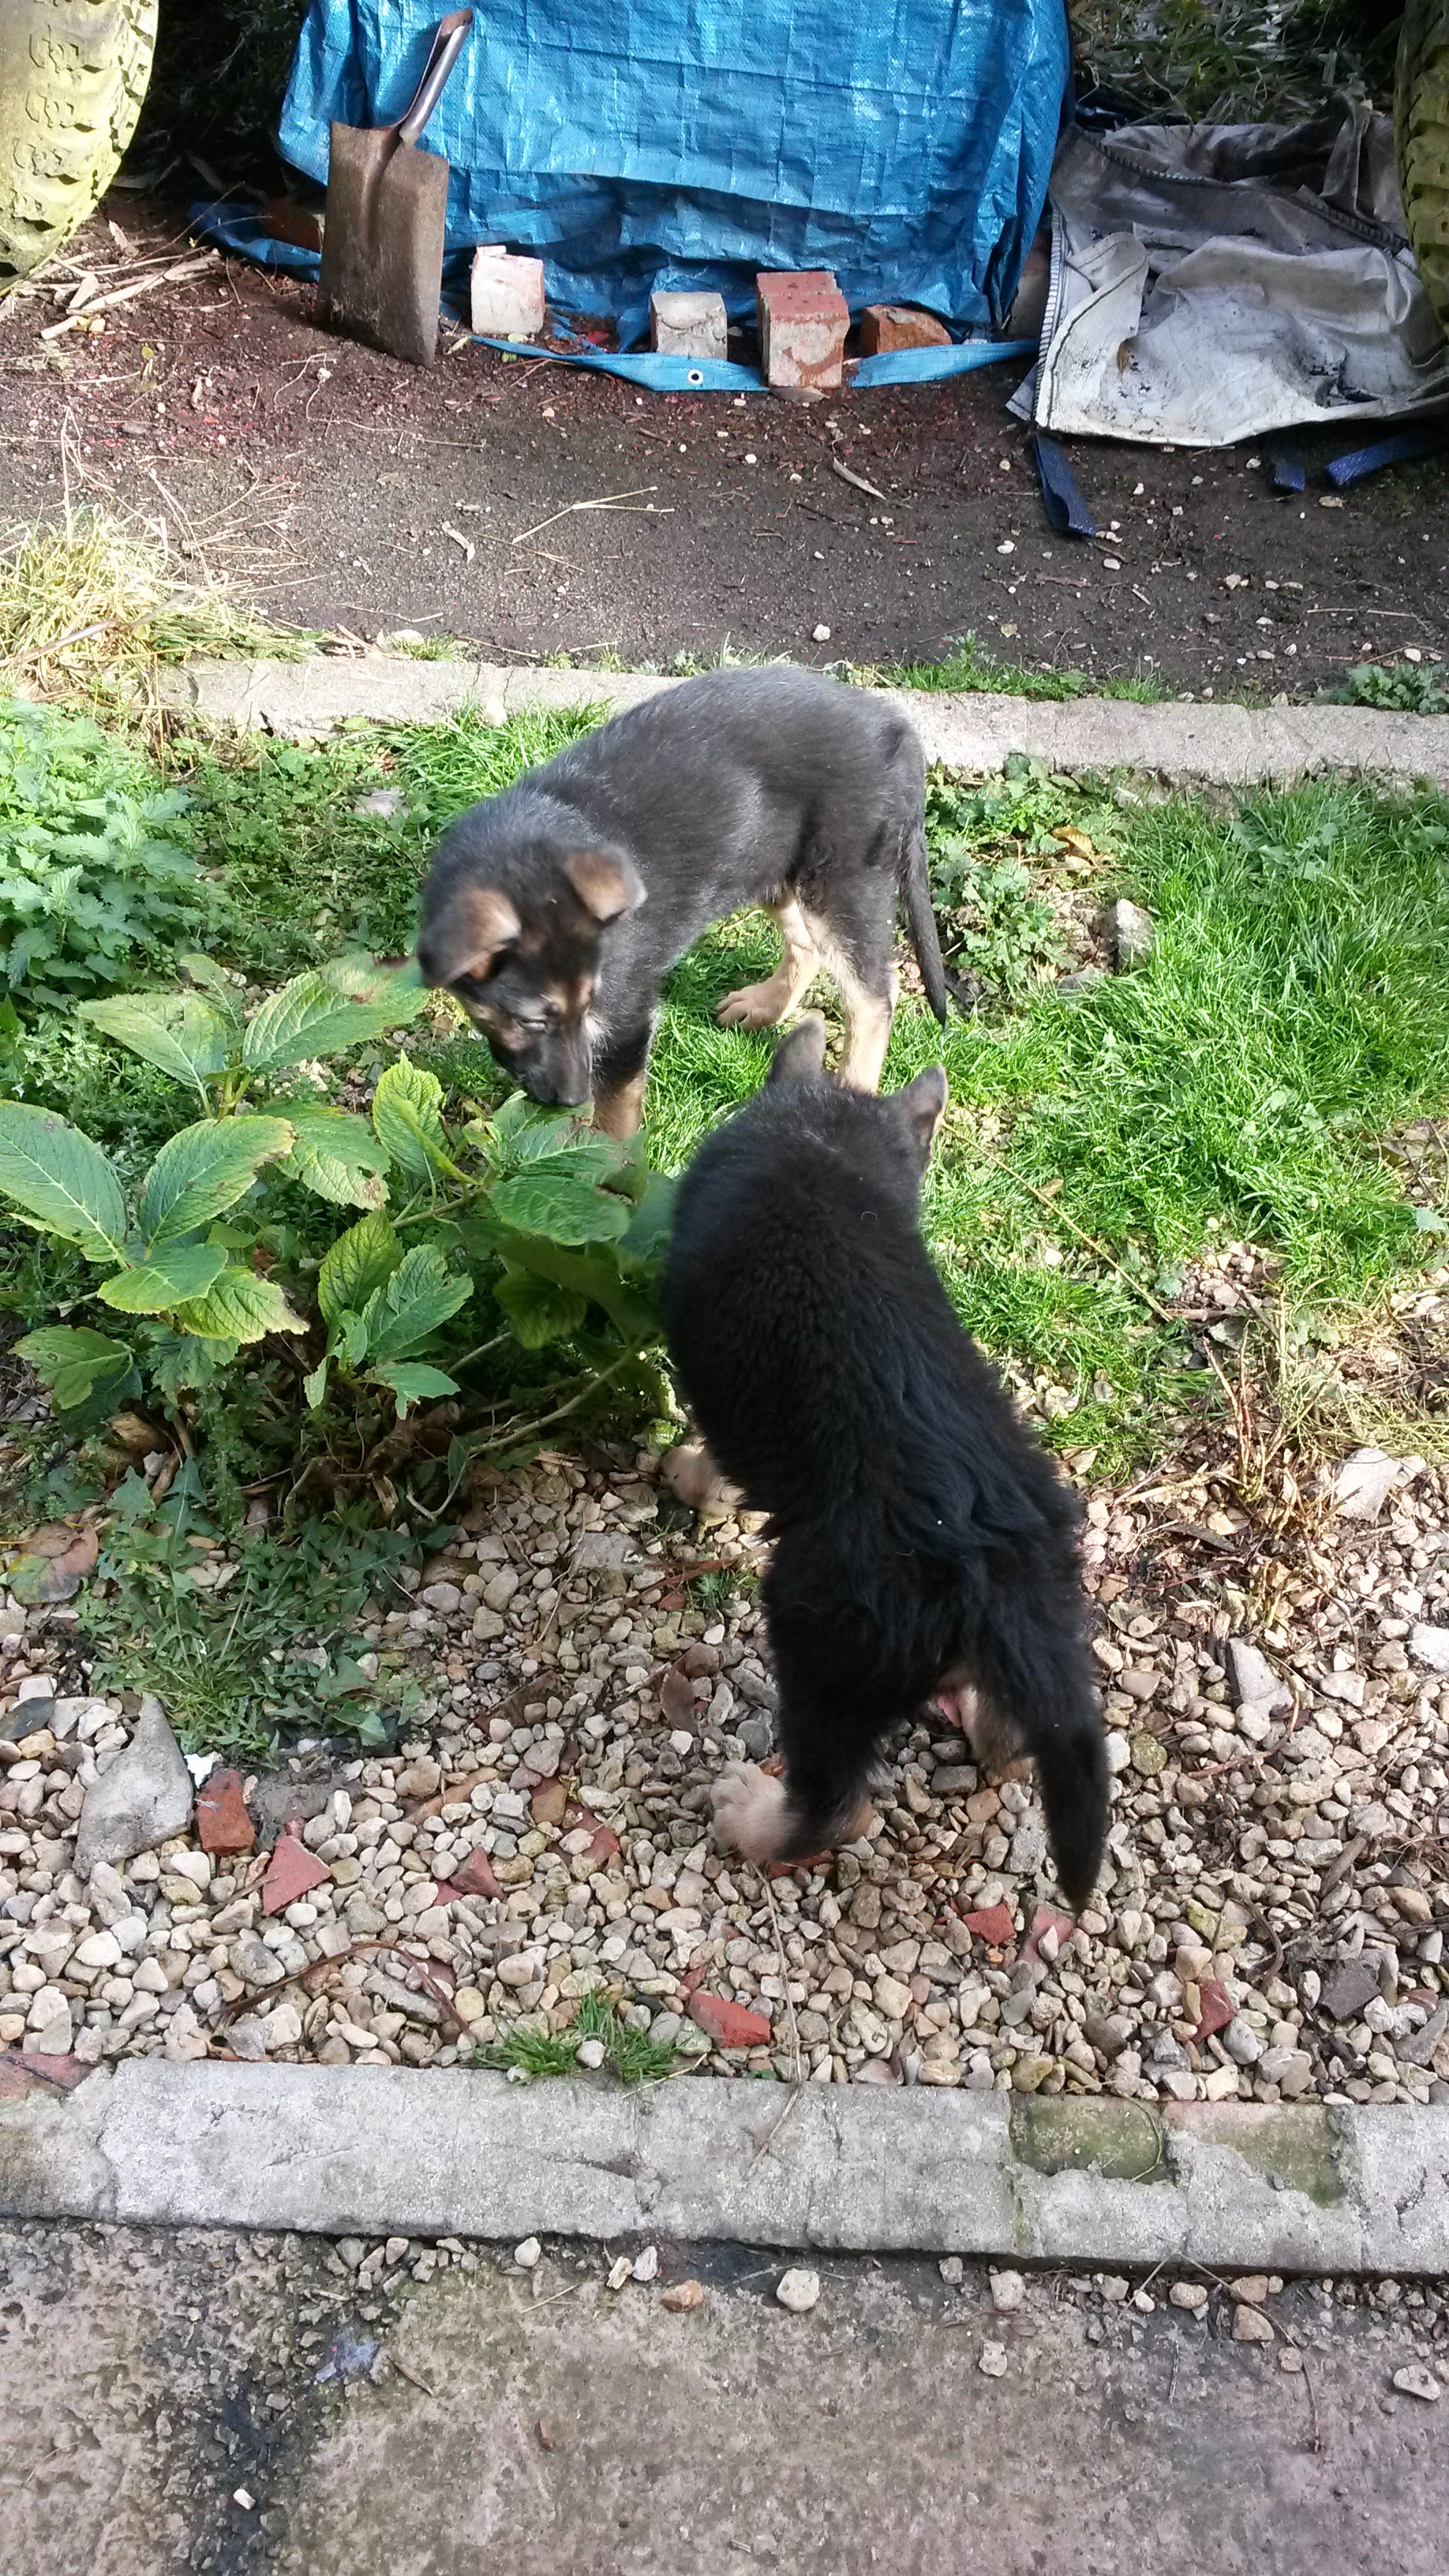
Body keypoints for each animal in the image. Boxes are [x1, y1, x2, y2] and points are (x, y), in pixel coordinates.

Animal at [415, 666, 948, 1136]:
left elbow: (615, 1119)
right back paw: (765, 1006)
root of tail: (894, 725)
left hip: (841, 880)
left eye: (588, 1007)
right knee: (806, 944)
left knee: (874, 999)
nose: (571, 1098)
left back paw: (851, 1098)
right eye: (529, 1021)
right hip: (770, 864)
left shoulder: (626, 1024)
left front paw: (606, 1173)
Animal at [660, 1016, 1108, 1911]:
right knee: (1015, 1742)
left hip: (819, 1643)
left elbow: (713, 1453)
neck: (822, 1143)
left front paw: (692, 1479)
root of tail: (988, 1559)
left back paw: (753, 1816)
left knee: (836, 1807)